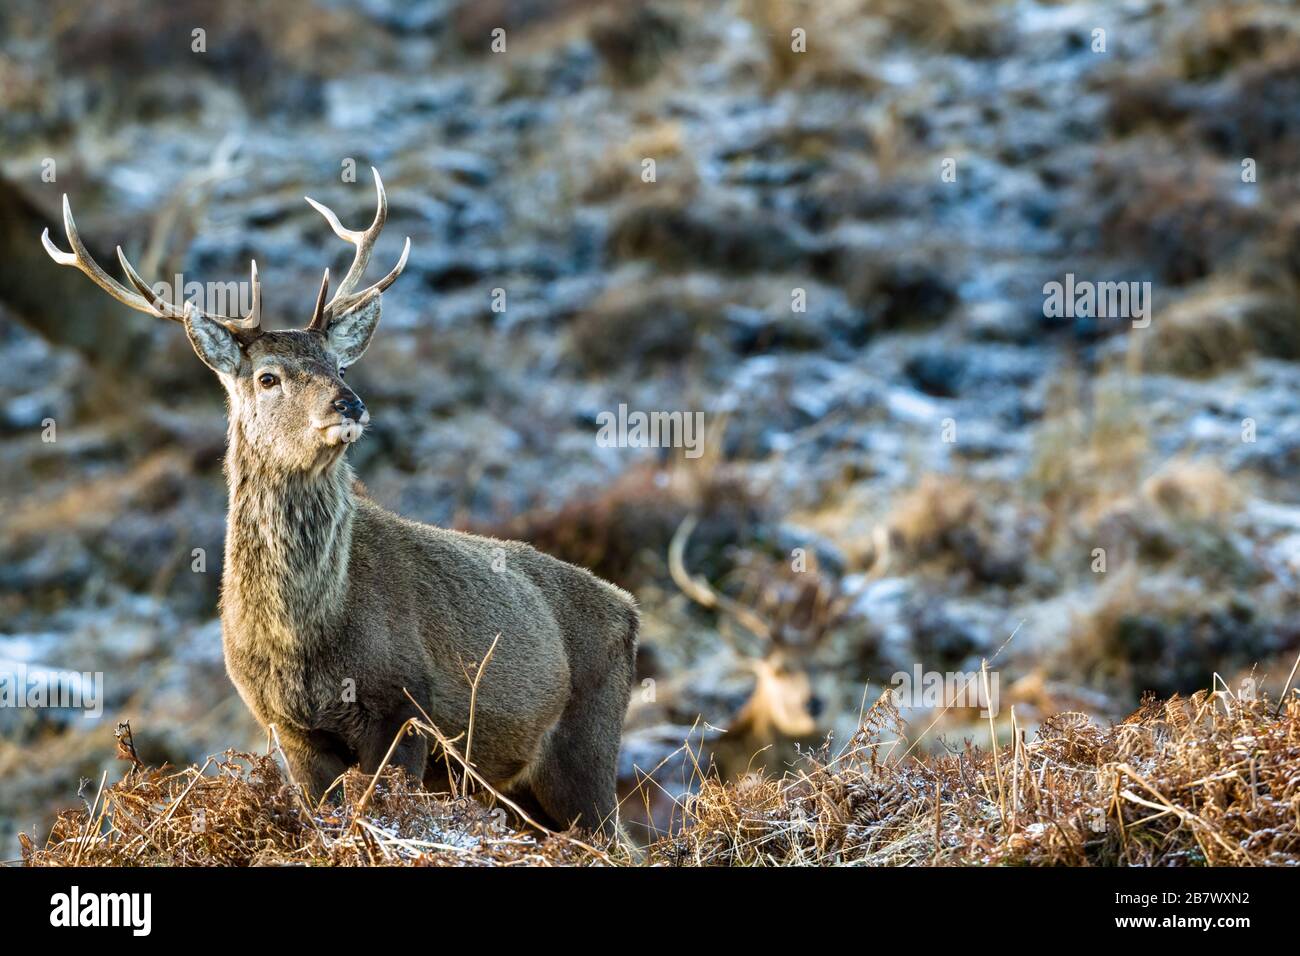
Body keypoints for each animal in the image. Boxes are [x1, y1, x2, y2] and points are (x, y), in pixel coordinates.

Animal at [41, 169, 638, 836]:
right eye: (268, 377)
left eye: (338, 365)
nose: (347, 404)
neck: (304, 638)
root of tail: (629, 610)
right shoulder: (290, 730)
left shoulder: (405, 708)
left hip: (586, 747)